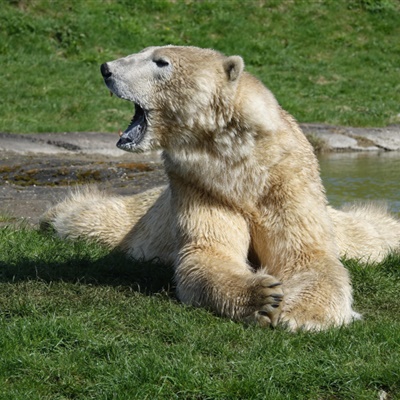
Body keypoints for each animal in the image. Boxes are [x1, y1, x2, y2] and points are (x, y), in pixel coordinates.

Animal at [41, 44, 400, 332]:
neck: (240, 163)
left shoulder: (286, 179)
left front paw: (303, 315)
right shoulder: (199, 184)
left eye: (161, 61)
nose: (106, 69)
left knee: (370, 233)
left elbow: (306, 253)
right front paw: (262, 297)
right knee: (93, 220)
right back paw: (55, 216)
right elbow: (209, 249)